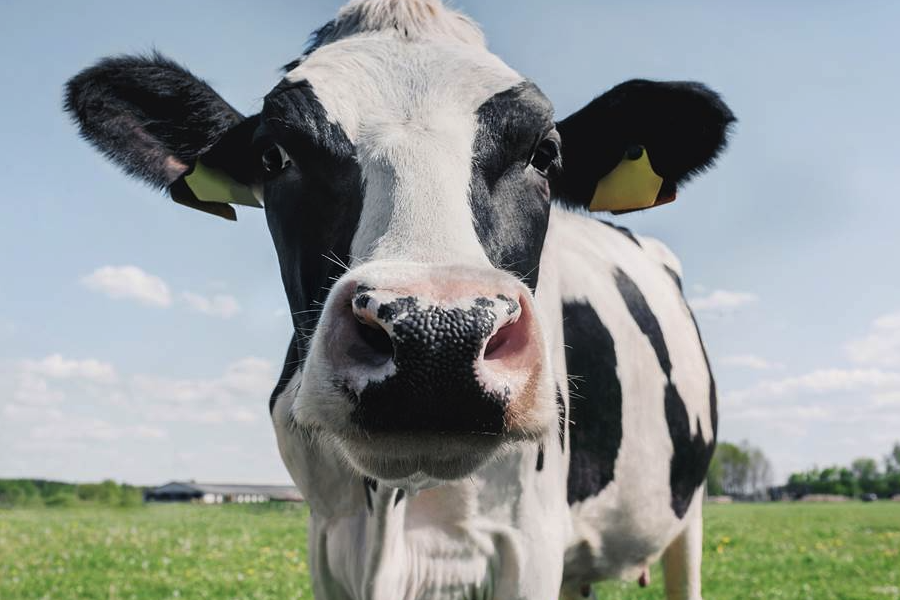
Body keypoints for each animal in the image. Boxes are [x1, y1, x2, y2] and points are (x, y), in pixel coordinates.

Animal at [67, 2, 736, 596]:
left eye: (544, 153)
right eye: (274, 154)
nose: (437, 338)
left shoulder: (530, 541)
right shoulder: (328, 539)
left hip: (689, 514)